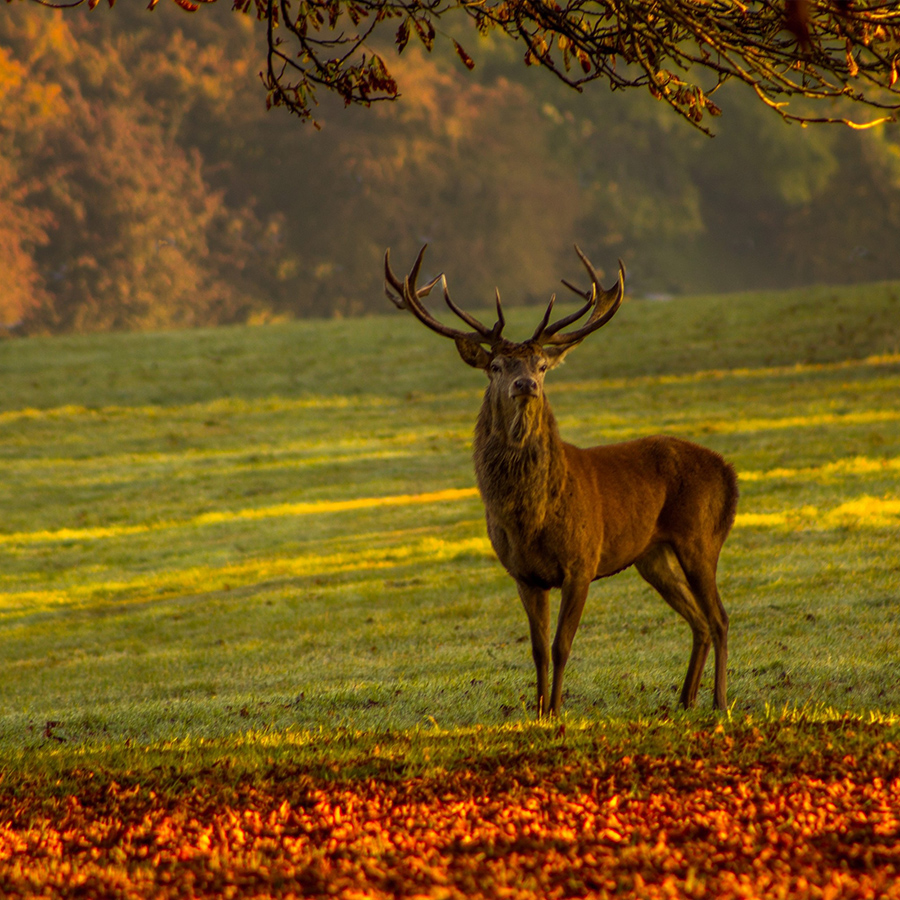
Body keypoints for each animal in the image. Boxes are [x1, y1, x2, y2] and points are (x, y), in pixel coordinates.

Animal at [384, 245, 739, 717]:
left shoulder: (582, 562)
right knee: (698, 620)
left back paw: (719, 700)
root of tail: (729, 473)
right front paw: (537, 711)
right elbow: (536, 649)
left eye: (541, 364)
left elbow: (561, 645)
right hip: (652, 555)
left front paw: (556, 711)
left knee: (719, 617)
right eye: (495, 365)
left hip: (700, 538)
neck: (530, 518)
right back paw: (684, 699)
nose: (525, 384)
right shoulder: (523, 574)